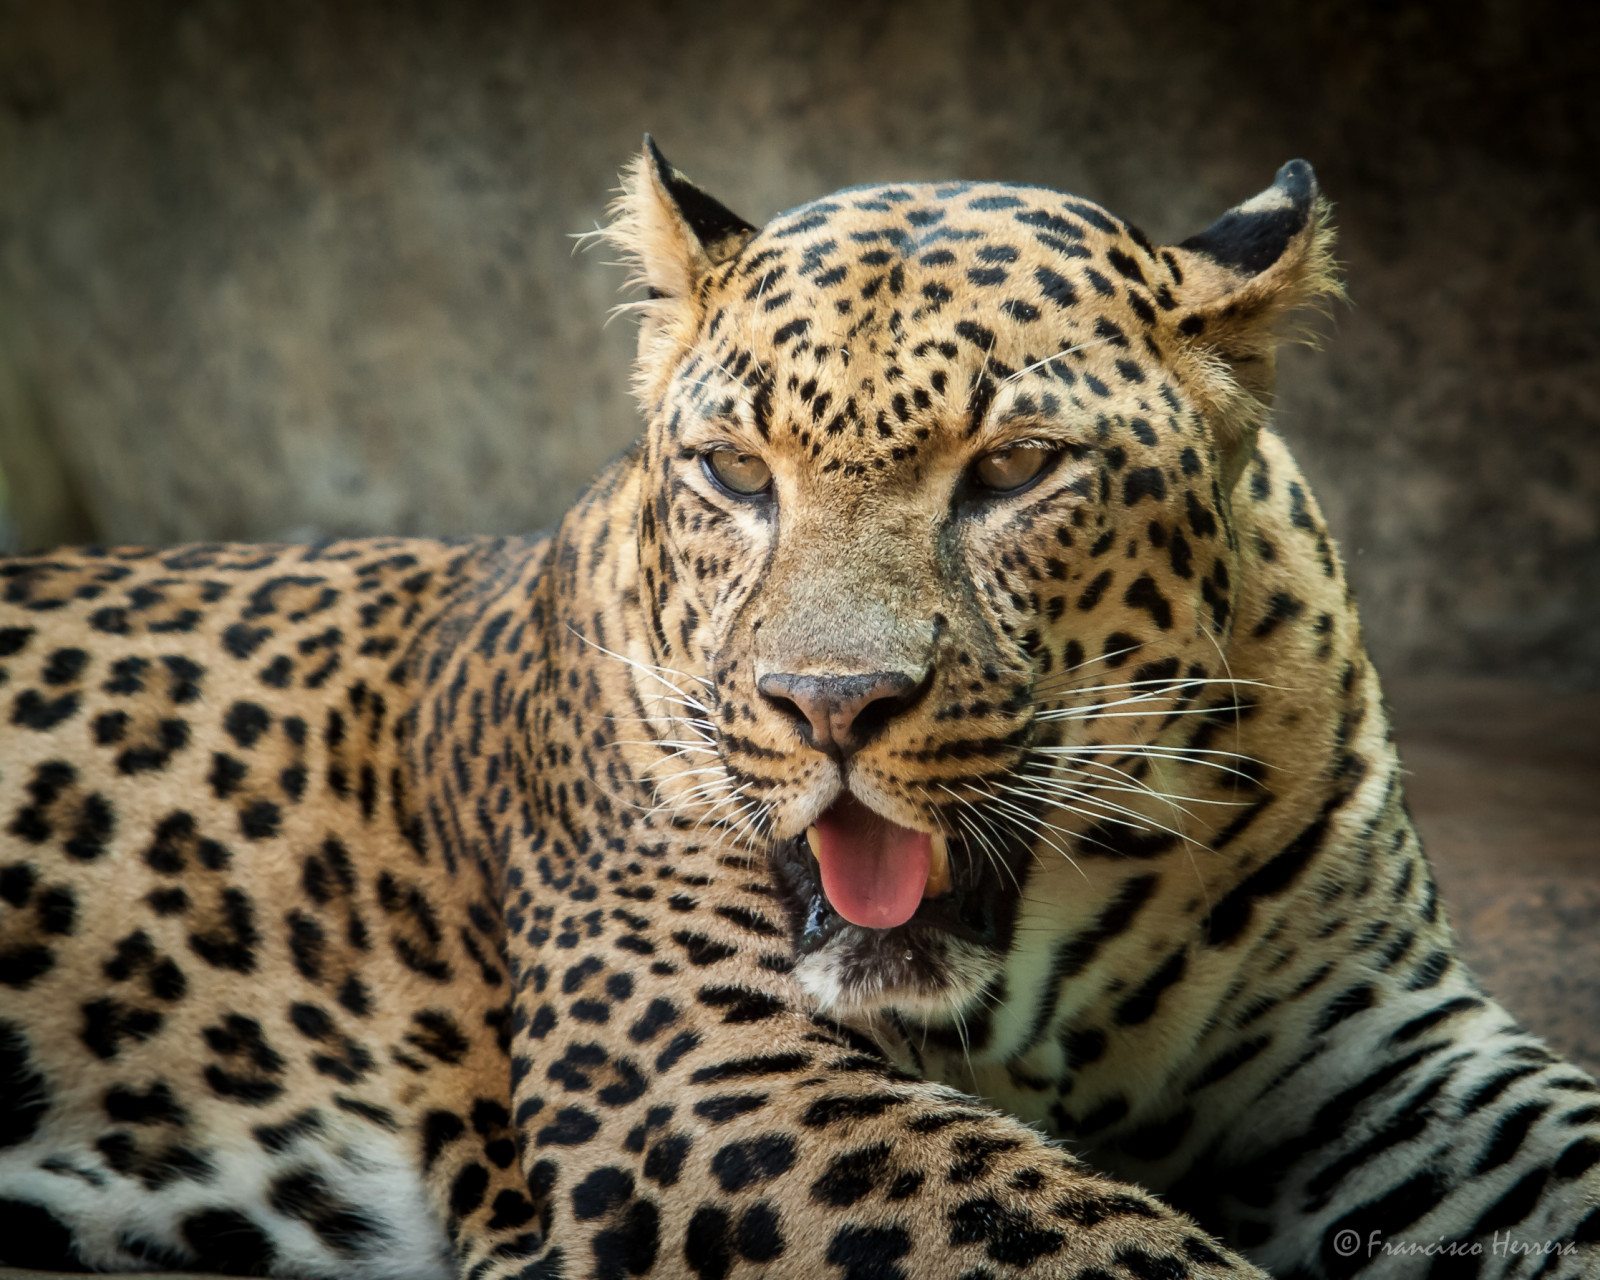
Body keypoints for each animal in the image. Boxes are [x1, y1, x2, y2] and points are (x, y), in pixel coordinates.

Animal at [1, 137, 1597, 1280]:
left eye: (1015, 469)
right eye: (734, 472)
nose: (831, 708)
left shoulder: (1384, 1044)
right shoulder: (719, 1076)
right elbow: (1083, 1243)